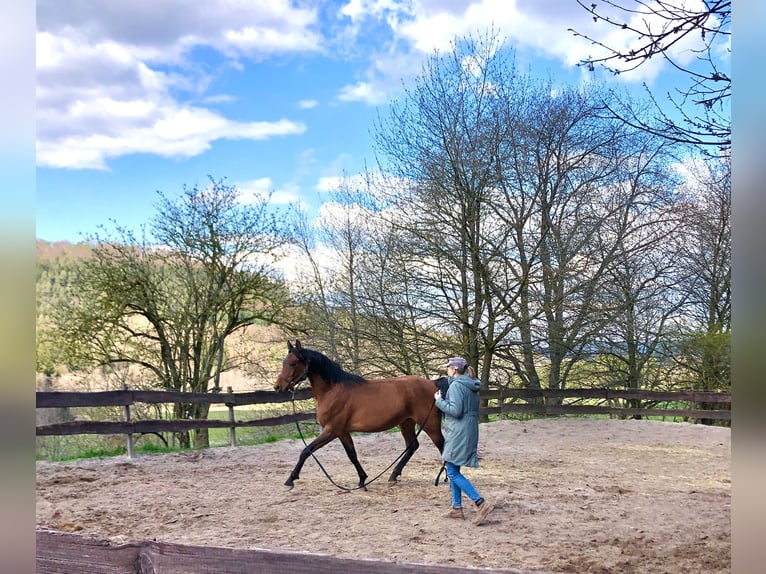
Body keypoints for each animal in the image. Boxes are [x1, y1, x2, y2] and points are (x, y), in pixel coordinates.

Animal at [274, 340, 445, 490]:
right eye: (284, 362)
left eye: (293, 363)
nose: (277, 387)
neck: (332, 391)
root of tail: (432, 383)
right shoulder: (342, 432)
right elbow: (352, 455)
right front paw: (362, 480)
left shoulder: (331, 430)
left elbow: (306, 451)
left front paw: (290, 480)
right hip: (406, 422)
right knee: (413, 446)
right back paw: (393, 476)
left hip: (429, 423)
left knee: (441, 444)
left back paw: (445, 478)